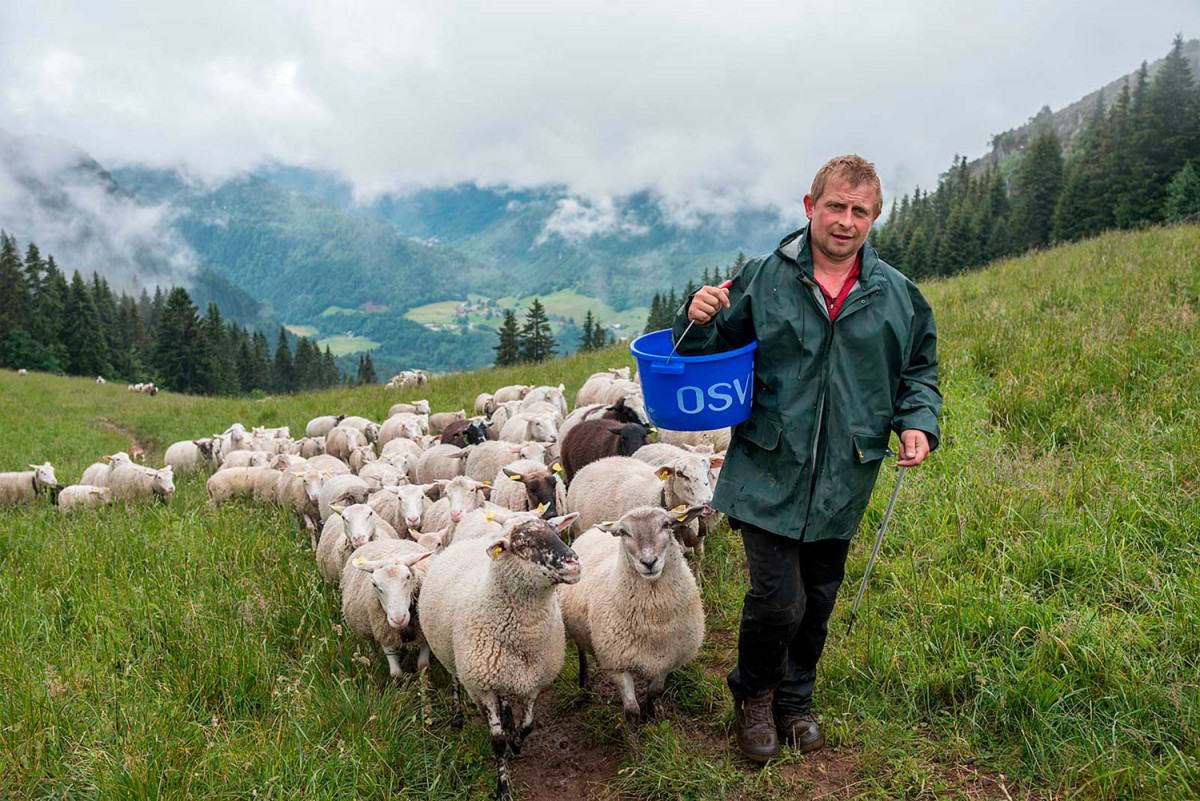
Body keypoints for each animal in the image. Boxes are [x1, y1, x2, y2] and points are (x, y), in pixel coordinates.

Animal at [417, 515, 576, 796]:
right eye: (522, 543)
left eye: (557, 532)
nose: (574, 563)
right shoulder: (482, 687)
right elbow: (497, 741)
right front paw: (502, 789)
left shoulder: (535, 678)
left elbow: (528, 725)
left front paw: (517, 743)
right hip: (453, 656)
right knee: (455, 681)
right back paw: (458, 717)